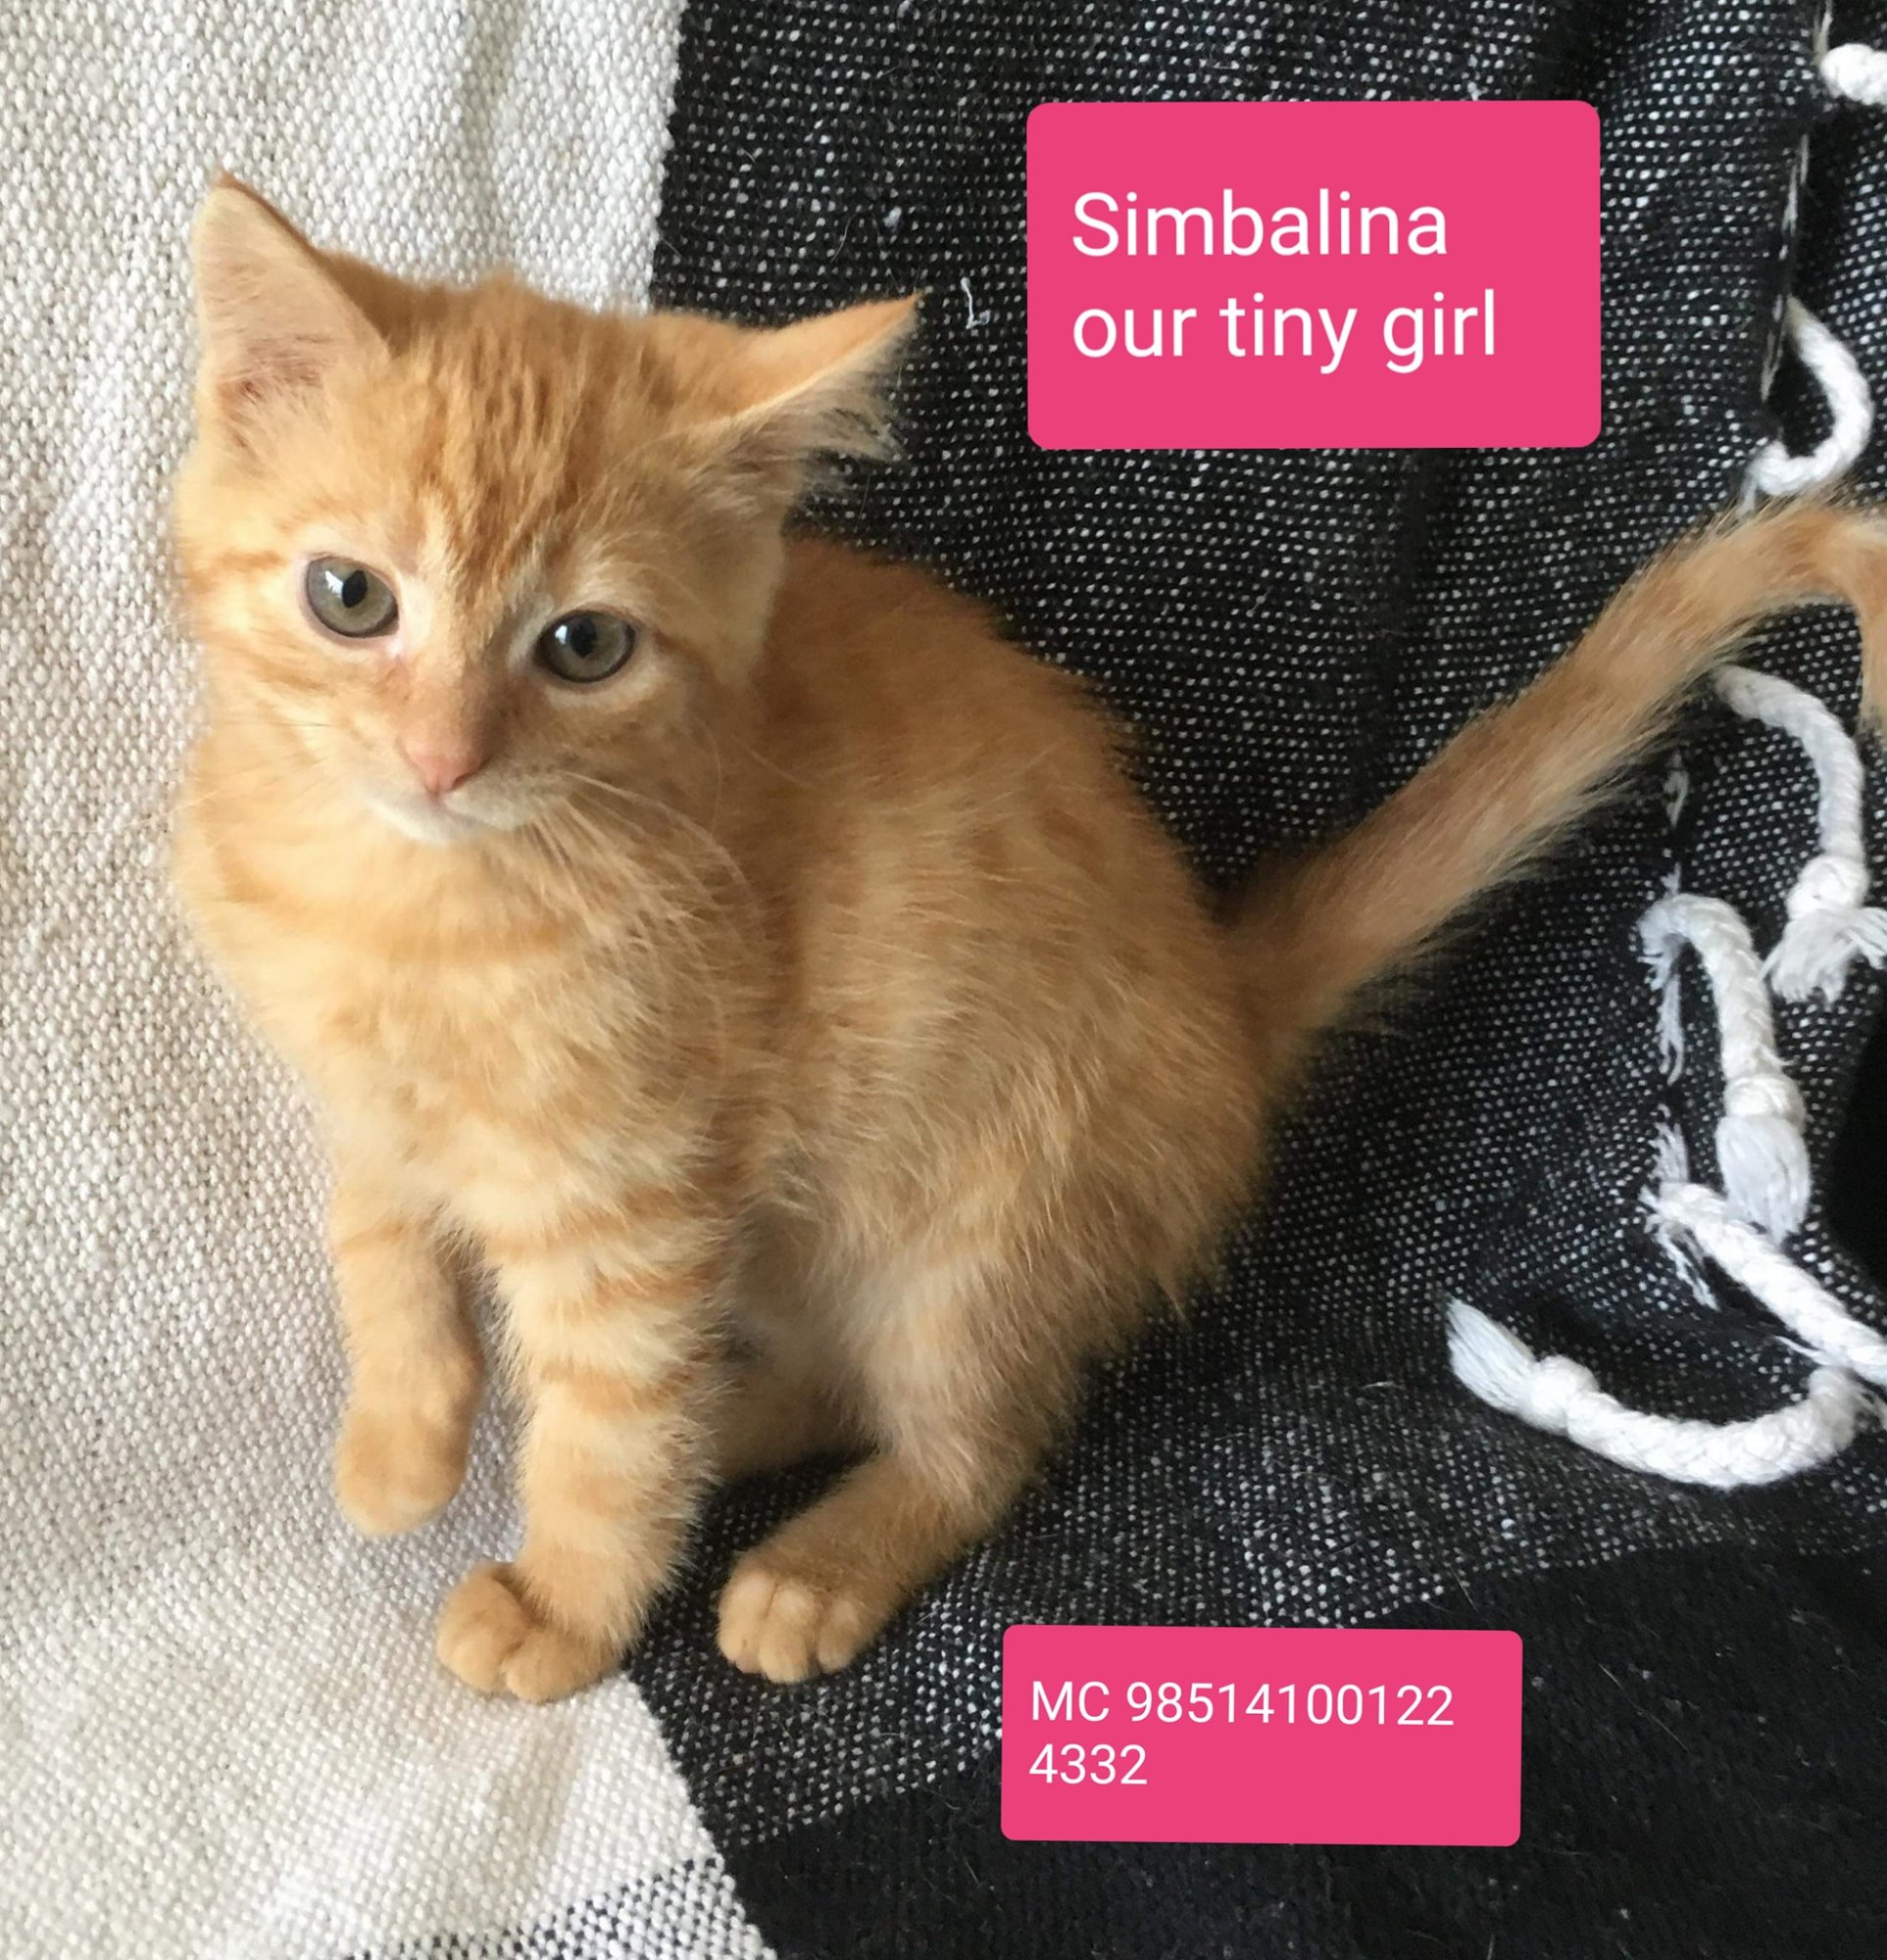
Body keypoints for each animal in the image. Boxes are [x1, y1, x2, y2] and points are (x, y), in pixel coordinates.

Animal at [172, 177, 1887, 1701]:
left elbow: (613, 1418)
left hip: (988, 1215)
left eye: (583, 645)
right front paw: (404, 1435)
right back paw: (724, 1420)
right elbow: (379, 1237)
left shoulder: (637, 1188)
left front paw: (572, 1602)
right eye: (349, 597)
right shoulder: (364, 1091)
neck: (407, 903)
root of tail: (1220, 998)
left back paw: (812, 1555)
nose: (442, 761)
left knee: (971, 1433)